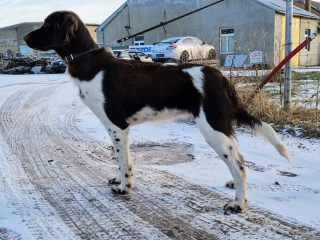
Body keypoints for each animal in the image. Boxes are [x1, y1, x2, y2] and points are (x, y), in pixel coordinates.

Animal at [24, 11, 290, 214]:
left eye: (47, 24)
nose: (25, 36)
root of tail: (221, 76)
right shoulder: (116, 127)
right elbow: (121, 160)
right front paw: (119, 180)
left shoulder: (117, 125)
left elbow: (123, 160)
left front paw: (124, 188)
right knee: (239, 160)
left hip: (212, 127)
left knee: (239, 163)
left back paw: (238, 204)